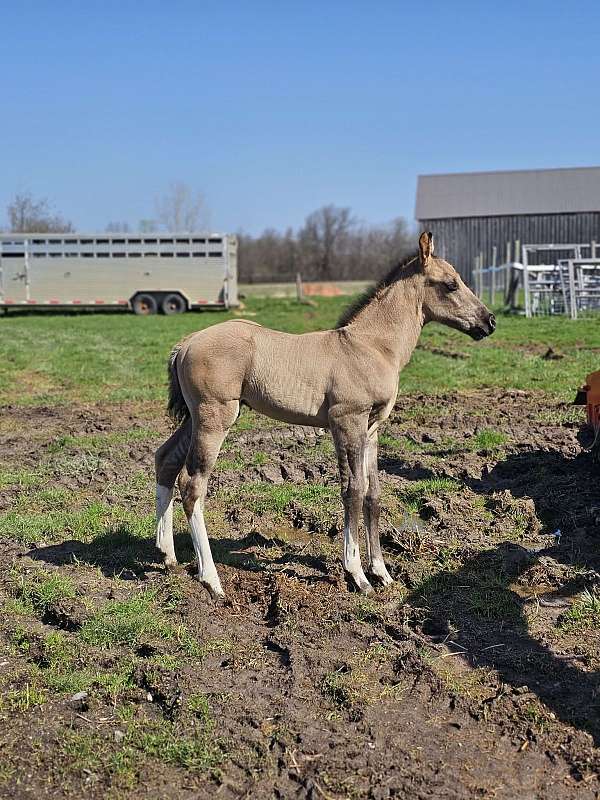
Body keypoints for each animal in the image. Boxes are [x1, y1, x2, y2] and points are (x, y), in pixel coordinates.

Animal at [154, 232, 495, 598]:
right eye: (450, 284)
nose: (489, 321)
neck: (372, 346)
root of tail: (186, 343)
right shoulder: (347, 421)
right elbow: (353, 491)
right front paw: (357, 575)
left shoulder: (371, 429)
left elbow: (373, 494)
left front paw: (382, 572)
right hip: (214, 417)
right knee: (193, 483)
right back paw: (211, 579)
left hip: (194, 418)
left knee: (166, 461)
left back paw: (168, 556)